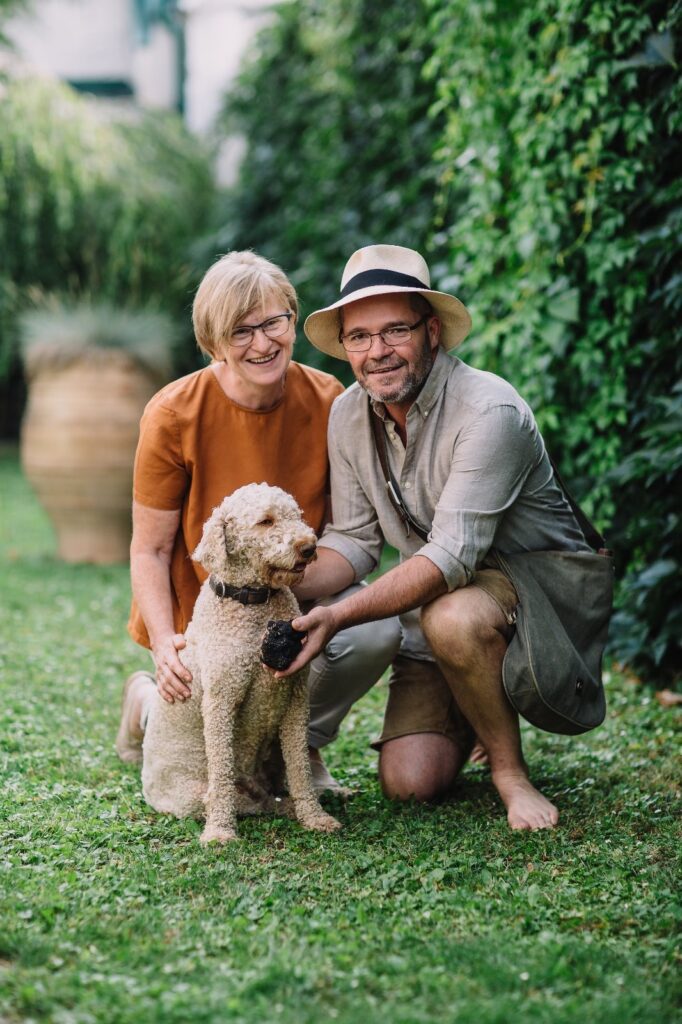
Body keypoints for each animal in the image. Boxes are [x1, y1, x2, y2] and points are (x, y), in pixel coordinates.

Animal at [139, 483, 339, 843]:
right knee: (234, 798)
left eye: (296, 515)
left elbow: (300, 767)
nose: (308, 547)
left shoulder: (296, 700)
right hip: (190, 795)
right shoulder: (220, 701)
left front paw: (315, 816)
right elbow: (221, 774)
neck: (253, 604)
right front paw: (219, 833)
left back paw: (289, 806)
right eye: (265, 521)